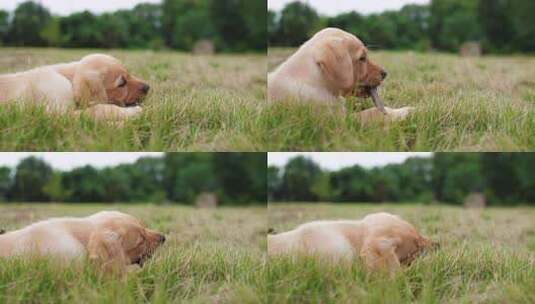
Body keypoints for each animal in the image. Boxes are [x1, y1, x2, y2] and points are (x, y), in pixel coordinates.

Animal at [0, 54, 150, 120]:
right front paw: (134, 112)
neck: (69, 80)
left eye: (129, 74)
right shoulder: (55, 114)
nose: (148, 87)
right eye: (121, 84)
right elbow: (99, 109)